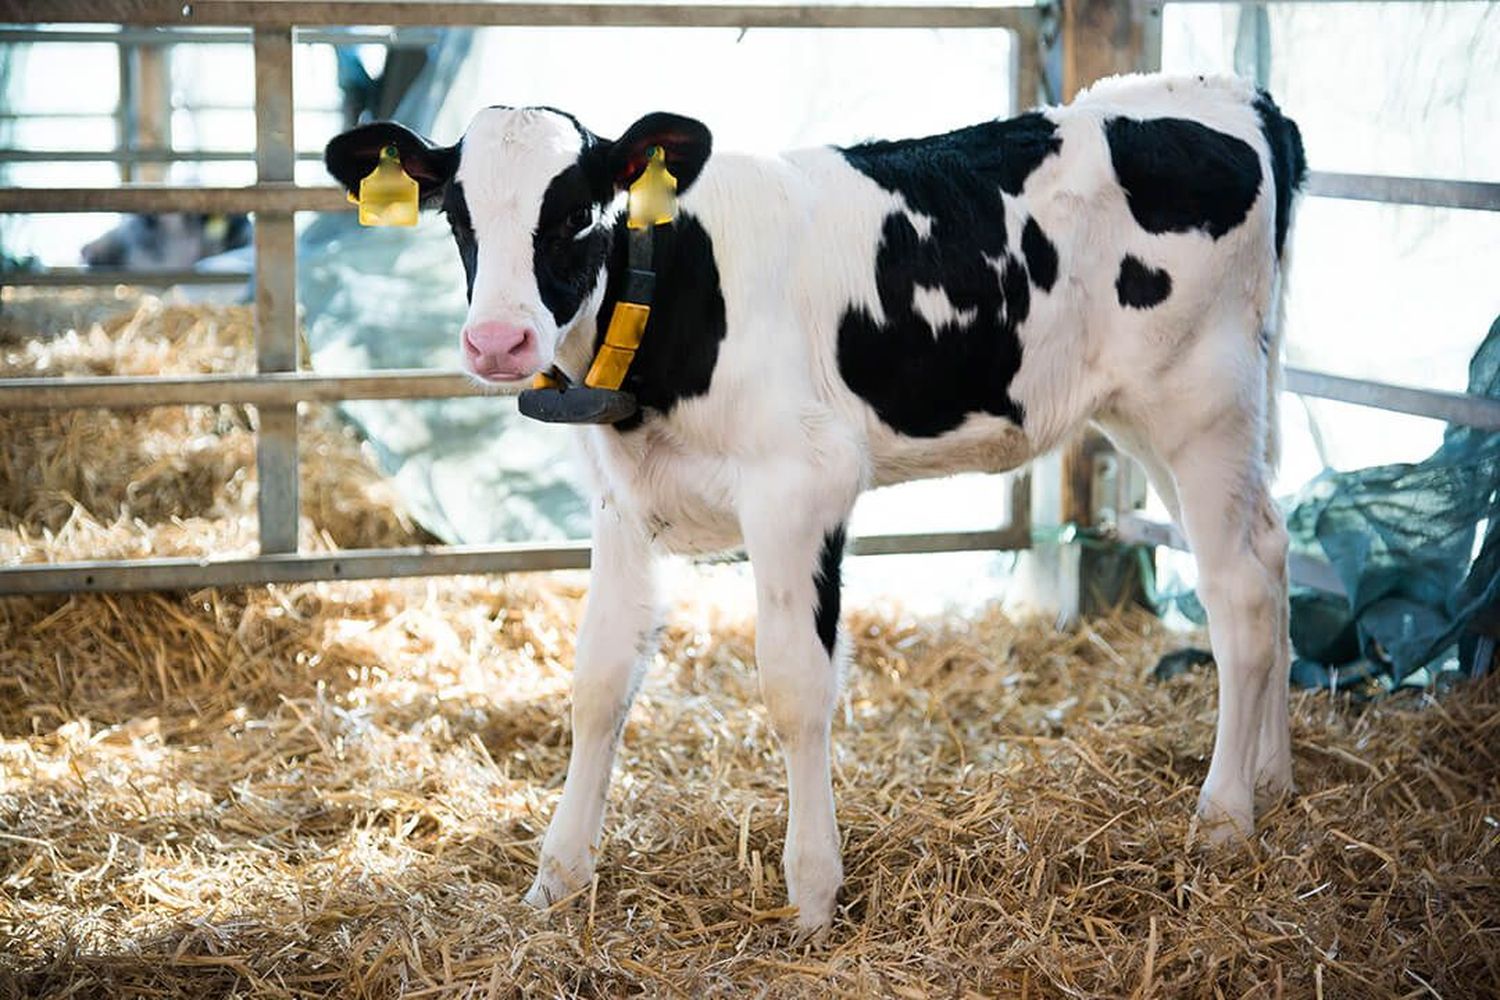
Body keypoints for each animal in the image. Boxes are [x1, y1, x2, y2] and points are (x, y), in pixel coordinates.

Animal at [325, 72, 1302, 941]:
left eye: (578, 214)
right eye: (457, 217)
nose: (498, 341)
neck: (676, 291)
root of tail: (1236, 97)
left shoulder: (802, 483)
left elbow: (796, 685)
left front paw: (812, 894)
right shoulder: (619, 505)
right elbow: (599, 682)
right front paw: (557, 879)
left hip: (1200, 401)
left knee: (1240, 597)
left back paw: (1224, 818)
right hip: (1155, 416)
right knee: (1274, 547)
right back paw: (1274, 778)